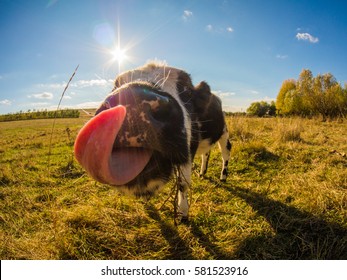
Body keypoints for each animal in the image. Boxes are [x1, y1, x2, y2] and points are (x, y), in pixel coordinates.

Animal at [73, 61, 232, 221]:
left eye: (186, 88)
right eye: (116, 84)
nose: (132, 100)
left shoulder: (188, 152)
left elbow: (183, 183)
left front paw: (183, 213)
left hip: (224, 131)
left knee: (226, 151)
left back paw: (223, 177)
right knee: (206, 153)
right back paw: (202, 173)